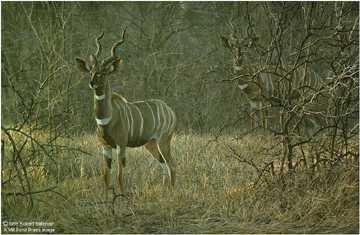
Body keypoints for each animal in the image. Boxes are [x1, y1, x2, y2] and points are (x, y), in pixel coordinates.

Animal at [75, 28, 176, 193]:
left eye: (103, 73)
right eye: (91, 71)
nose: (92, 83)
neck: (106, 120)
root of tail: (171, 111)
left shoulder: (121, 145)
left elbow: (120, 175)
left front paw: (122, 195)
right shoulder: (105, 146)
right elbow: (106, 176)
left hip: (164, 140)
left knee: (172, 165)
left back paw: (171, 191)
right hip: (151, 144)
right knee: (163, 164)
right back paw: (164, 188)